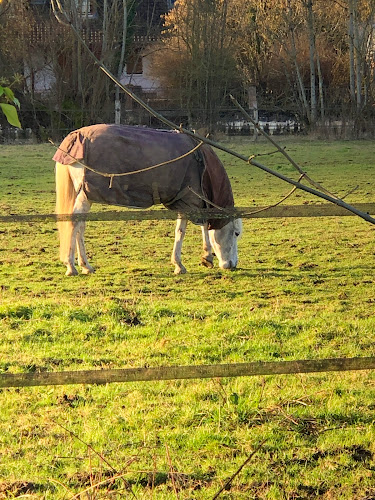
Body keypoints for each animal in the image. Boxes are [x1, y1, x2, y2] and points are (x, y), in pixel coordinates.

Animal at [53, 123, 244, 276]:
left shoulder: (183, 201)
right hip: (85, 195)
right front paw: (206, 257)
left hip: (86, 195)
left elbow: (180, 231)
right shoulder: (192, 200)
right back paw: (71, 267)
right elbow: (202, 226)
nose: (232, 264)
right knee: (74, 223)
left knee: (80, 226)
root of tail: (75, 136)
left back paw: (86, 266)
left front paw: (179, 264)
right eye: (236, 233)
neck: (201, 164)